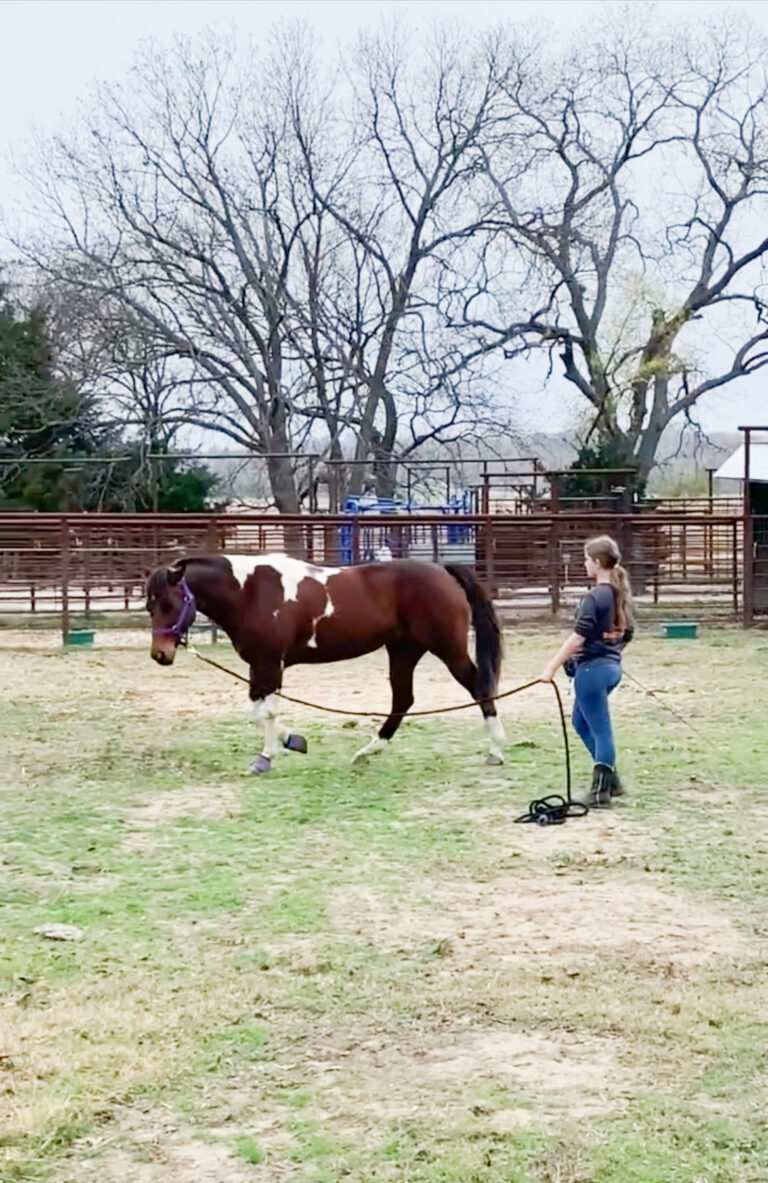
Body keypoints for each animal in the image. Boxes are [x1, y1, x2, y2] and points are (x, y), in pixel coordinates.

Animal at [144, 556, 506, 776]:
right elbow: (256, 713)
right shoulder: (257, 666)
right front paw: (293, 741)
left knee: (479, 687)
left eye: (169, 603)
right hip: (403, 652)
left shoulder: (270, 663)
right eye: (150, 606)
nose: (160, 654)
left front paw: (266, 758)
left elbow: (267, 712)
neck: (250, 592)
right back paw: (368, 751)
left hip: (448, 649)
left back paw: (497, 750)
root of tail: (442, 570)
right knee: (403, 700)